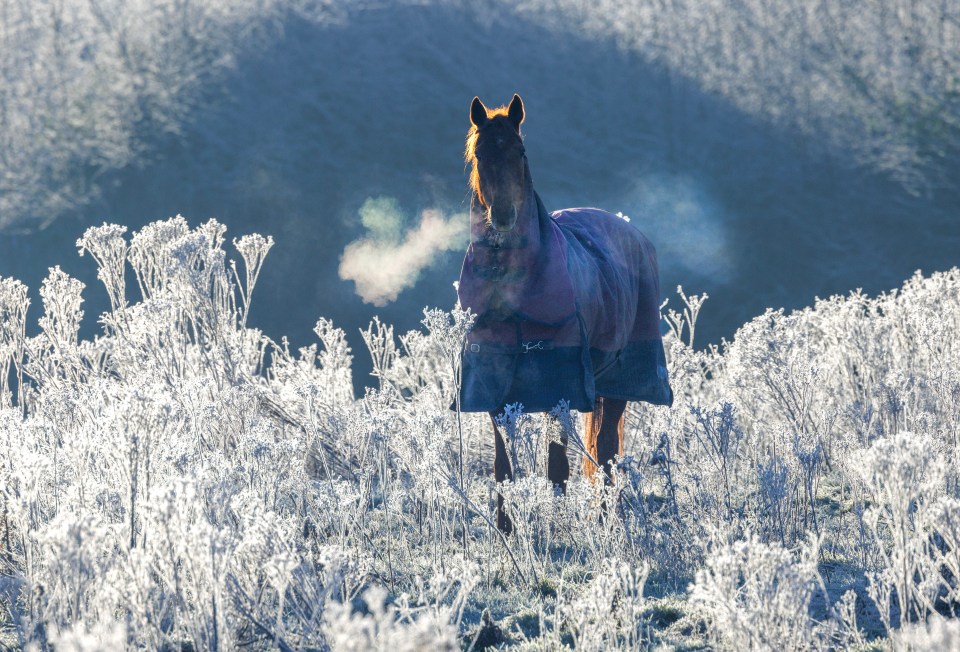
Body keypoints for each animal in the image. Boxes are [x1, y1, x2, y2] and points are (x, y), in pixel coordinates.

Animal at [460, 94, 676, 532]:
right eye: (480, 154)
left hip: (619, 378)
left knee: (607, 448)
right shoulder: (493, 384)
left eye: (520, 151)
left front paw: (559, 524)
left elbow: (558, 464)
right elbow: (502, 465)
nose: (503, 217)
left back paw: (605, 517)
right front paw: (505, 527)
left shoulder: (563, 383)